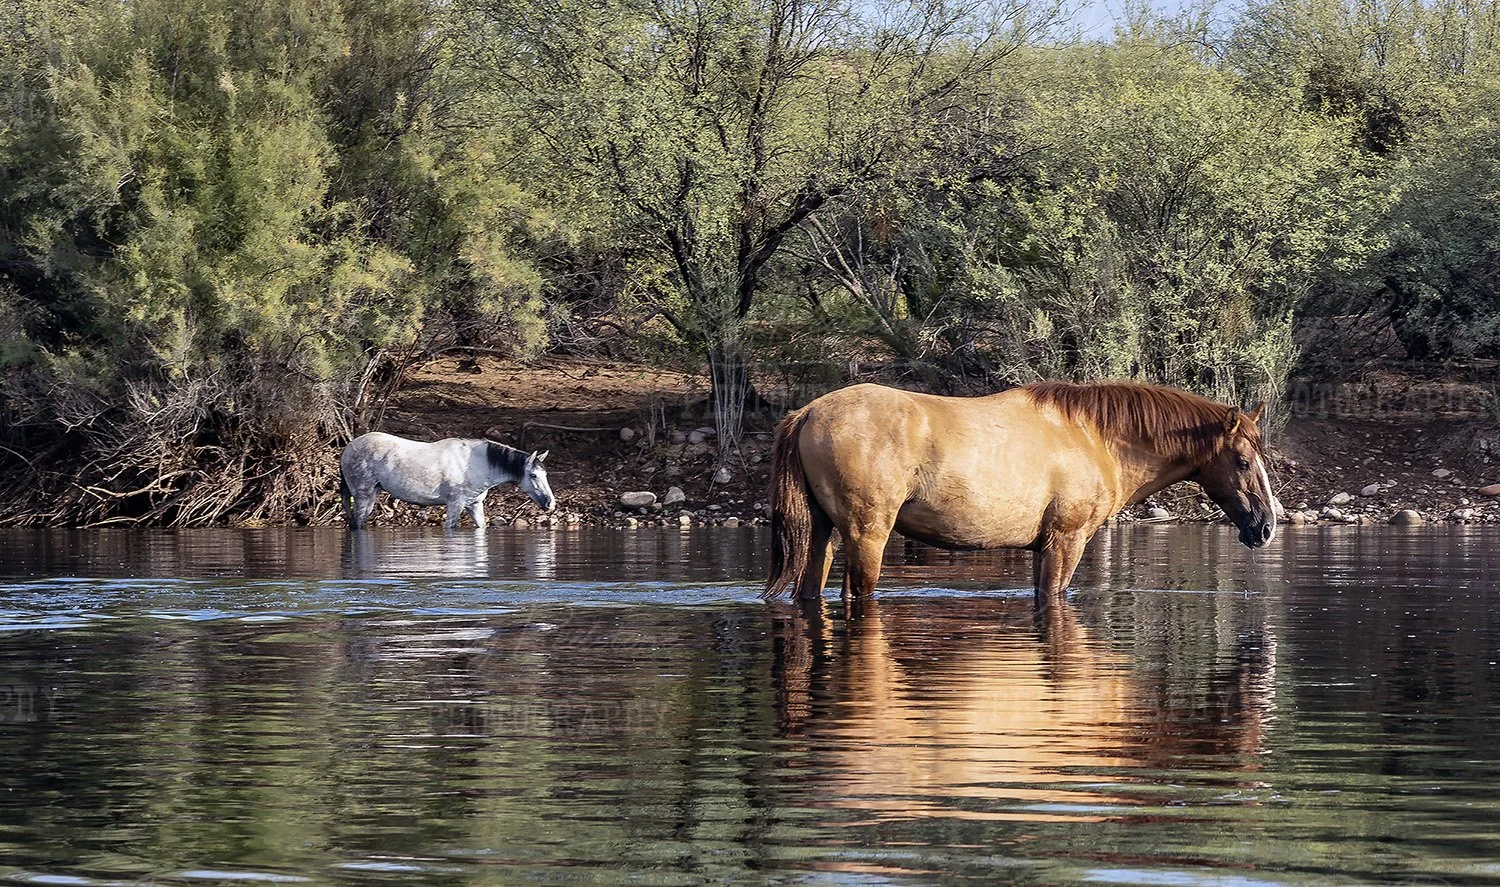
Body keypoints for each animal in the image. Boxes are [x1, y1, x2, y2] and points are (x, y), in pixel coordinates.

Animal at [340, 432, 555, 529]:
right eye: (533, 475)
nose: (550, 504)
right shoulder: (455, 504)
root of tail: (348, 447)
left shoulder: (475, 504)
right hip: (363, 496)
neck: (477, 463)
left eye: (545, 475)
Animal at [765, 381, 1277, 607]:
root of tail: (808, 412)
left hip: (823, 534)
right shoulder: (1066, 541)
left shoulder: (1040, 547)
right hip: (867, 534)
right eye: (1243, 461)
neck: (1094, 437)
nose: (1267, 527)